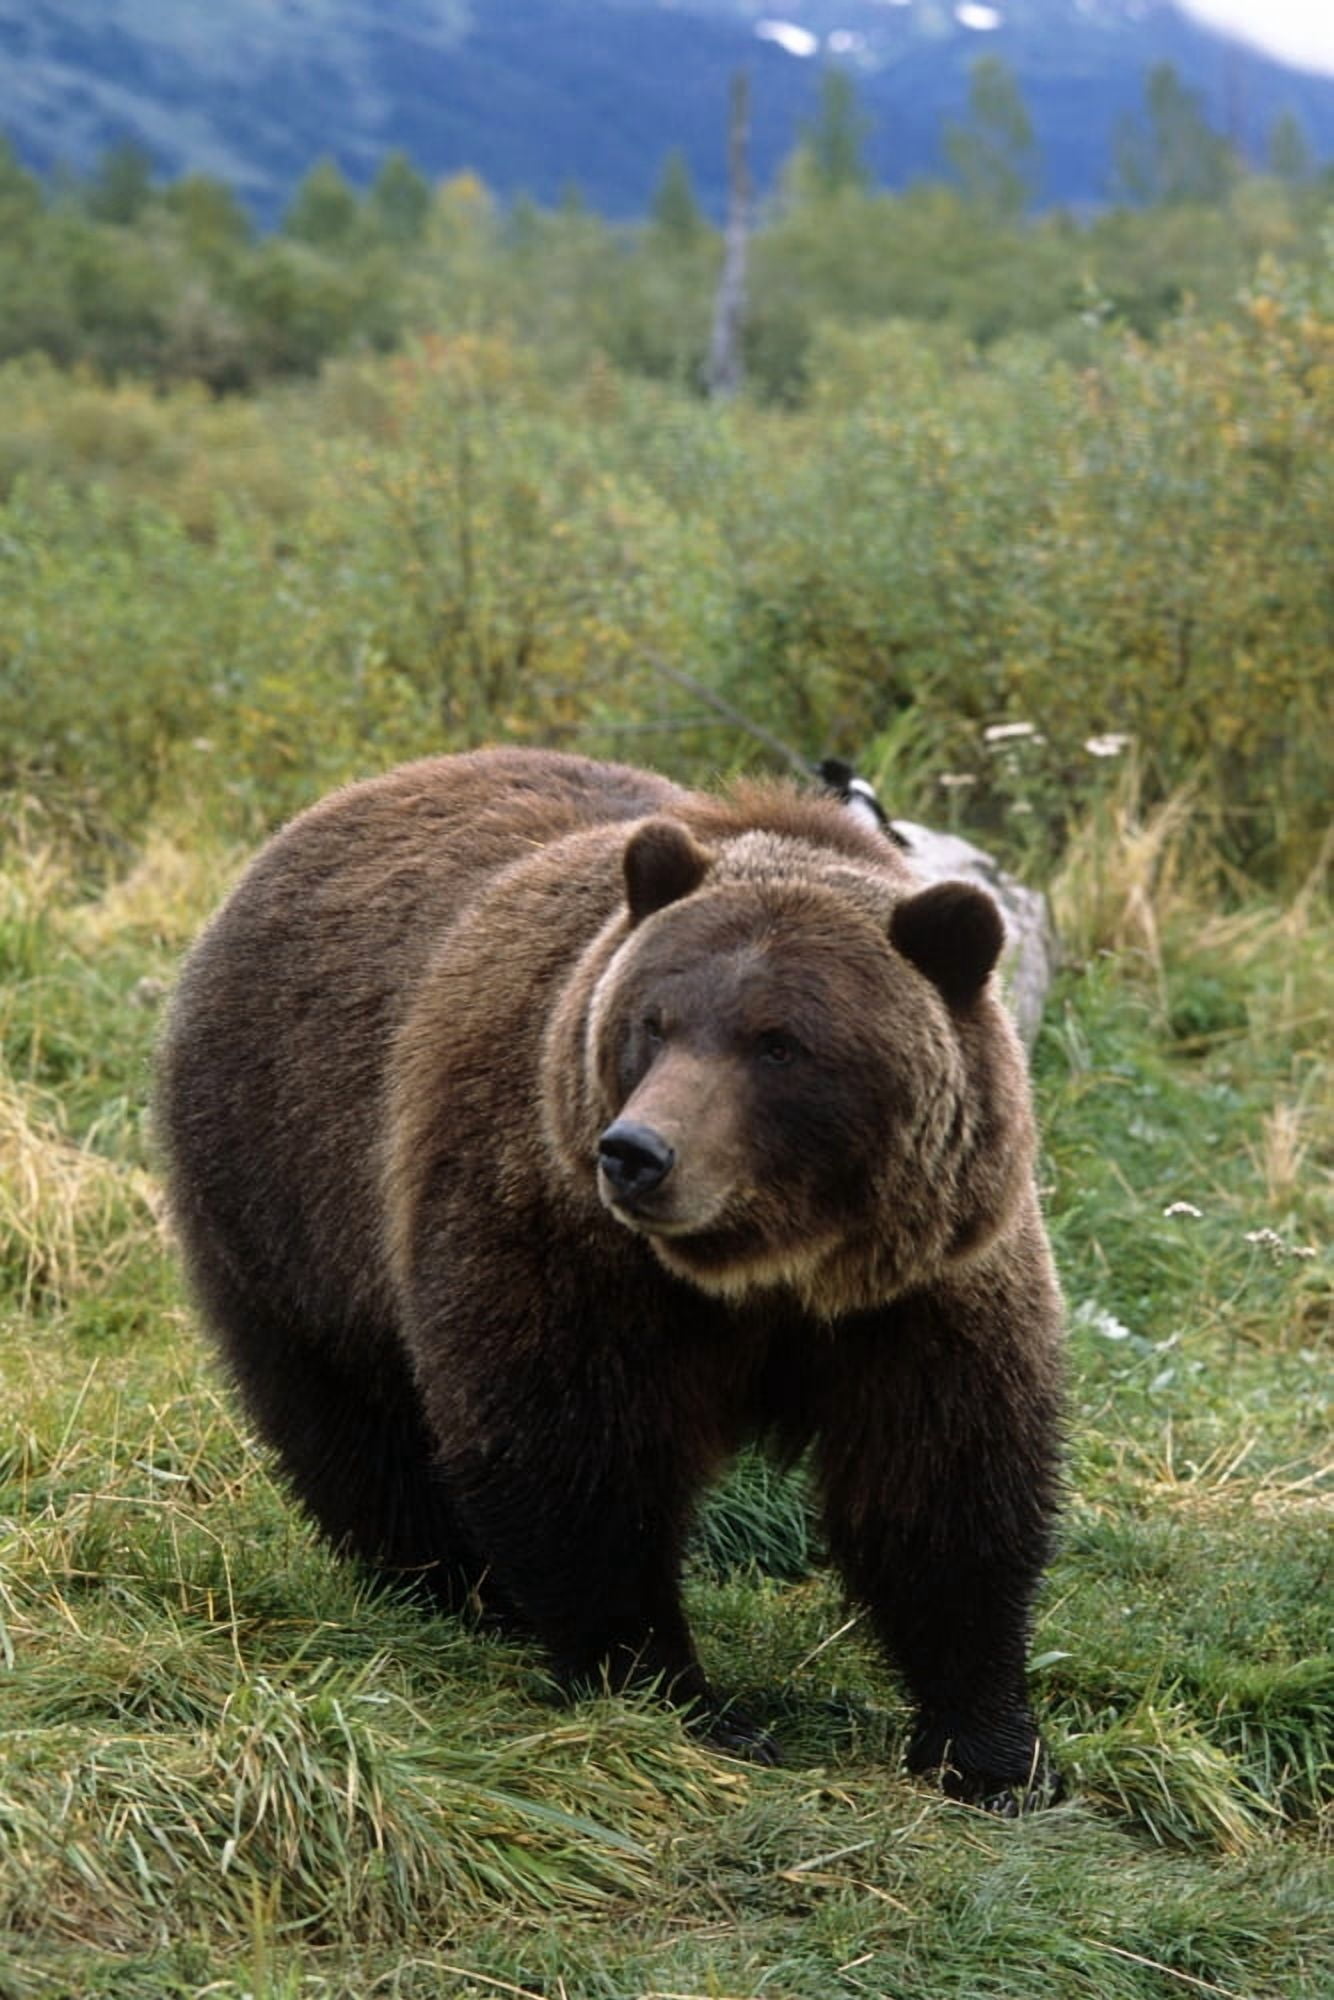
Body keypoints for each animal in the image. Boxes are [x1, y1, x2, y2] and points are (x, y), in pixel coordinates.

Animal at [156, 747, 1065, 1808]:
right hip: (291, 1185)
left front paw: (994, 1748)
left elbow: (945, 1483)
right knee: (349, 1414)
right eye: (654, 1022)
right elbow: (579, 1458)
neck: (766, 1272)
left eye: (780, 1042)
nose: (637, 1153)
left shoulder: (921, 1289)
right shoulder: (562, 1241)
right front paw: (680, 1696)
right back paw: (455, 1587)